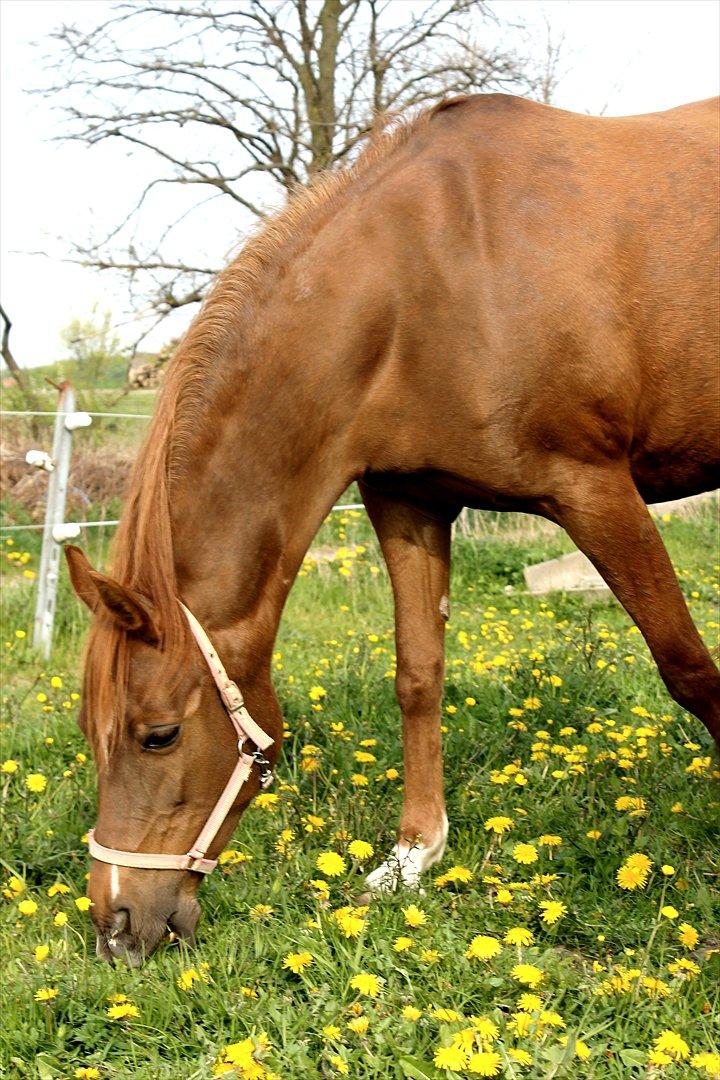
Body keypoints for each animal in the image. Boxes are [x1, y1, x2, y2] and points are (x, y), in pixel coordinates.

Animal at [64, 97, 716, 967]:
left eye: (159, 736)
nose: (116, 926)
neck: (430, 275)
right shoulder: (406, 501)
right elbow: (418, 675)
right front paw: (412, 857)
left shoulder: (597, 490)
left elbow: (687, 666)